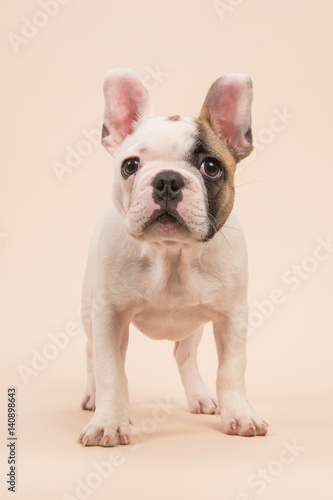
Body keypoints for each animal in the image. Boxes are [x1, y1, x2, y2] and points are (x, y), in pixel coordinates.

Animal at [78, 68, 268, 448]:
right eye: (130, 166)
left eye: (211, 167)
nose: (167, 180)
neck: (171, 255)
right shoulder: (108, 316)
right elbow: (110, 371)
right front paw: (109, 422)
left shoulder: (232, 317)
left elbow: (232, 369)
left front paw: (240, 414)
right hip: (89, 310)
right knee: (93, 355)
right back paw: (93, 397)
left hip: (193, 325)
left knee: (185, 354)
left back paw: (200, 396)